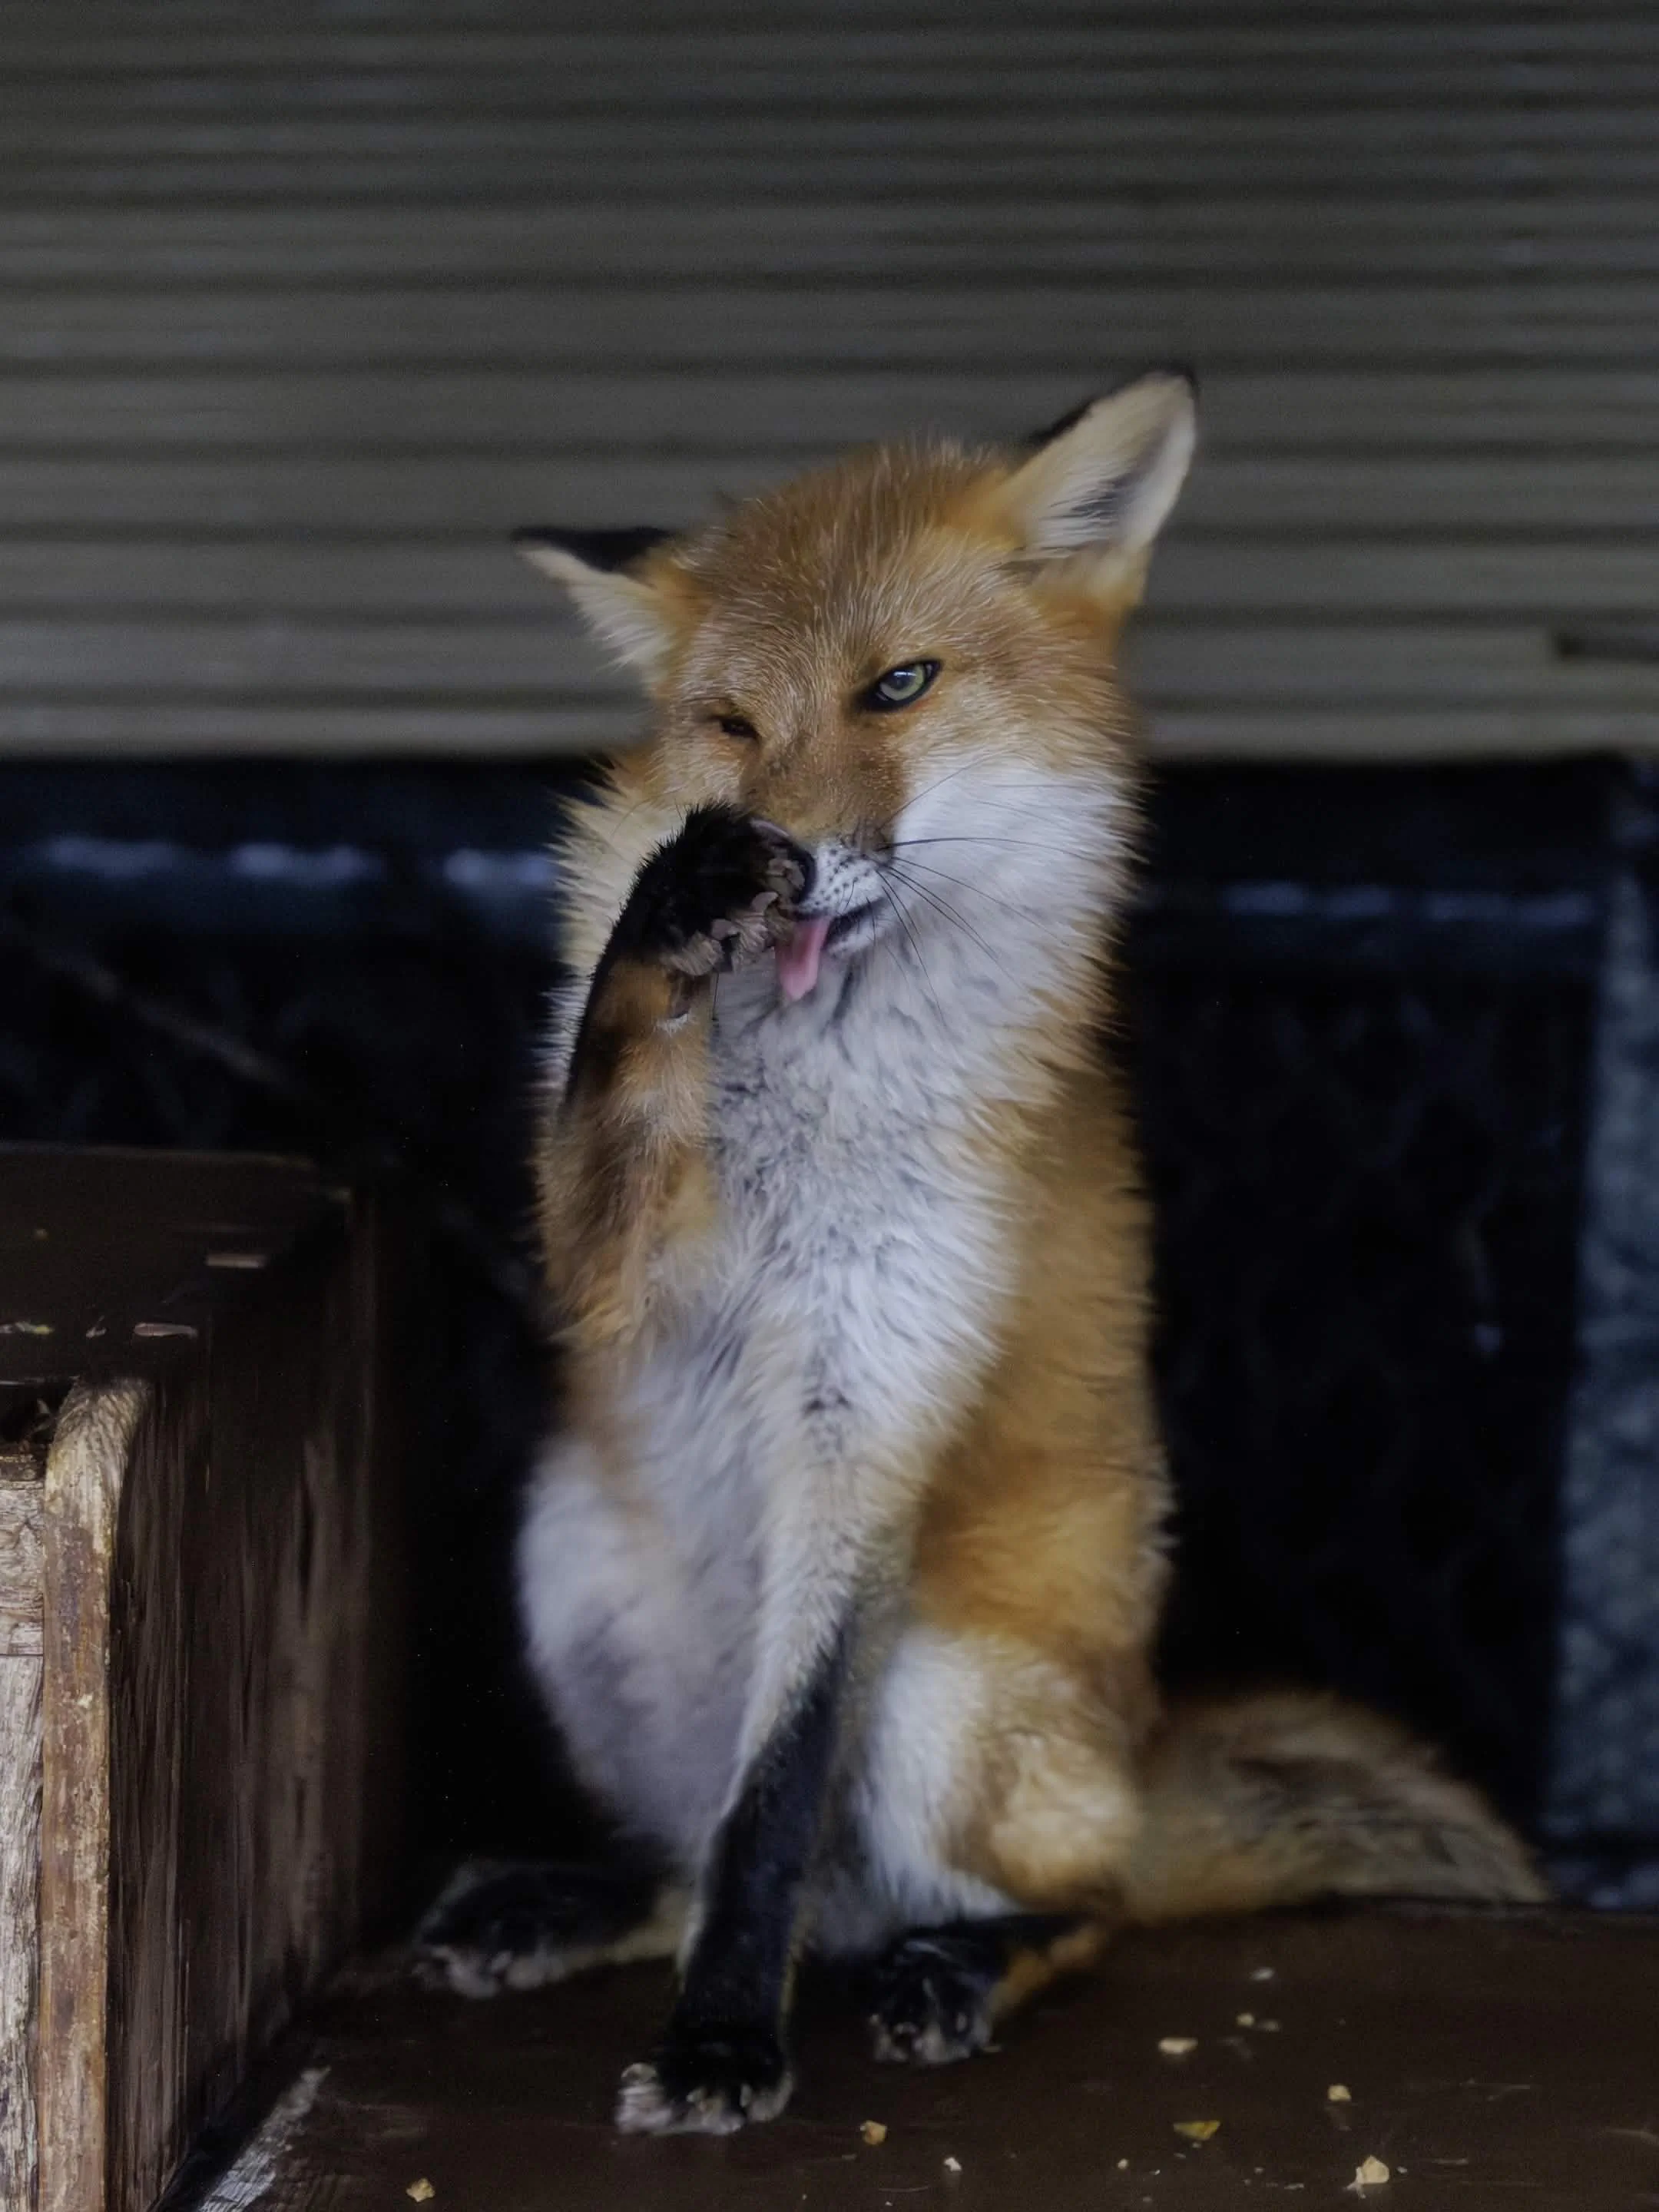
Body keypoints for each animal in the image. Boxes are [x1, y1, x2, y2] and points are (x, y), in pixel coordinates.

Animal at [420, 370, 1544, 2134]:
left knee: (1068, 1904)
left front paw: (725, 2044)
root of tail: (1136, 1759)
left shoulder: (873, 1392)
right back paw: (578, 1904)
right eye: (731, 726)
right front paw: (667, 917)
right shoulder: (609, 1272)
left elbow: (778, 1798)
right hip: (574, 1570)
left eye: (899, 686)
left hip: (948, 1695)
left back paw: (962, 1965)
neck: (815, 1101)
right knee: (700, 1860)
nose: (785, 856)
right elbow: (612, 1066)